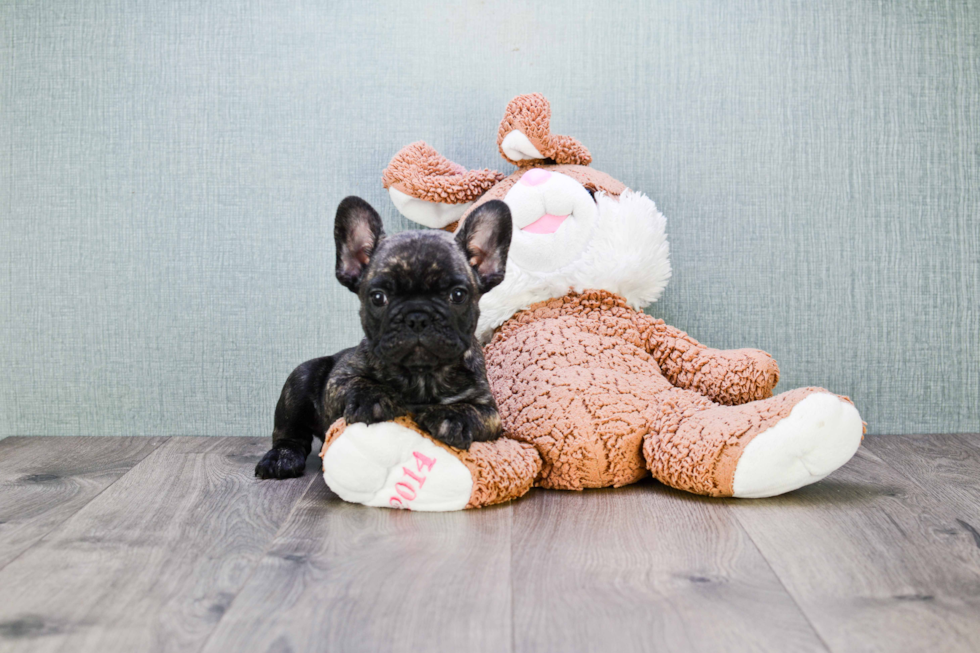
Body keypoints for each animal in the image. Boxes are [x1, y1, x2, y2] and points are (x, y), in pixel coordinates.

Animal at [253, 195, 512, 478]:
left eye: (458, 295)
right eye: (378, 297)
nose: (417, 316)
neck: (420, 375)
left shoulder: (490, 410)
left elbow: (475, 411)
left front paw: (451, 416)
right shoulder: (336, 381)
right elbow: (359, 382)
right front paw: (374, 398)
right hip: (299, 379)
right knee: (289, 435)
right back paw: (281, 458)